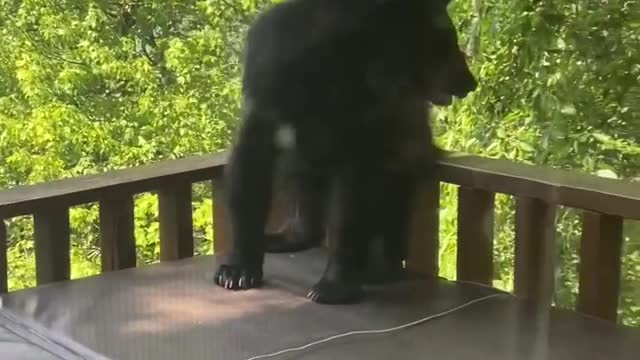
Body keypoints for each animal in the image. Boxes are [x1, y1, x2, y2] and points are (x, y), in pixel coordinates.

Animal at [215, 0, 476, 304]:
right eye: (447, 42)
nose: (470, 83)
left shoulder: (363, 123)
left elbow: (351, 196)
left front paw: (332, 287)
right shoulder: (268, 85)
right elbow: (250, 167)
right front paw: (236, 271)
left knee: (391, 196)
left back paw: (378, 267)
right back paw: (284, 238)